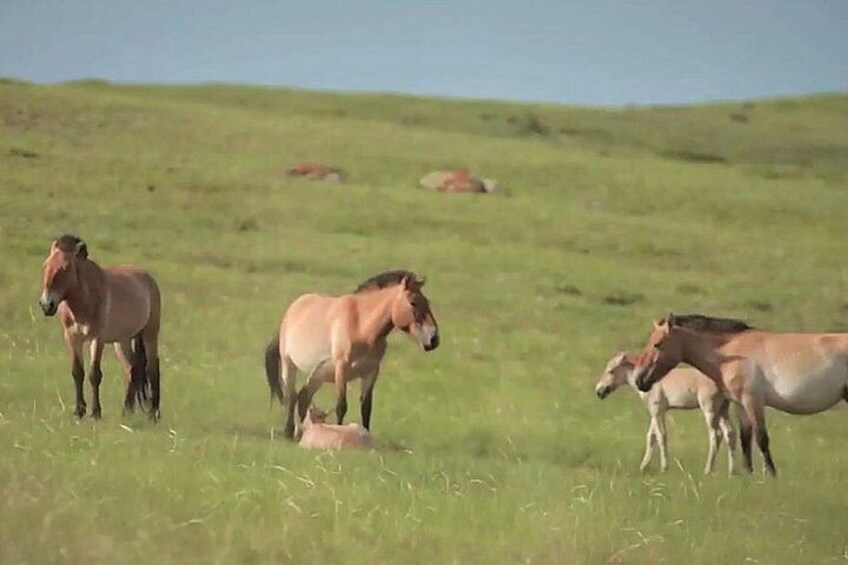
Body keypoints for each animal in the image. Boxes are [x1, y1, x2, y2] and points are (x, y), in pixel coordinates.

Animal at [38, 234, 164, 418]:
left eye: (65, 268)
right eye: (45, 265)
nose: (46, 305)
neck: (84, 300)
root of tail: (148, 278)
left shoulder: (97, 339)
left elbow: (94, 374)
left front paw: (95, 412)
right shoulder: (72, 337)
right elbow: (77, 372)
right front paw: (79, 411)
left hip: (150, 333)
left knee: (152, 368)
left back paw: (153, 413)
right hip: (122, 341)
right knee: (132, 369)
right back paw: (127, 410)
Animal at [264, 270, 440, 438]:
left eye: (428, 302)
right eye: (413, 303)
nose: (434, 339)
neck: (361, 325)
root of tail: (293, 308)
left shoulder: (371, 372)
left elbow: (366, 407)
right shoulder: (342, 368)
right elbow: (341, 406)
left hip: (319, 373)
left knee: (303, 397)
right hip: (289, 364)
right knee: (291, 396)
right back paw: (289, 432)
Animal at [596, 350, 736, 474]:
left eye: (611, 371)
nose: (599, 391)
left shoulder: (657, 410)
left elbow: (661, 436)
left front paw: (664, 468)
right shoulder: (655, 412)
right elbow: (651, 437)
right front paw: (643, 467)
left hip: (710, 409)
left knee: (716, 435)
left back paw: (708, 470)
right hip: (722, 409)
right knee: (729, 433)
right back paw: (732, 471)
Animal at [632, 312, 848, 476]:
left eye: (657, 344)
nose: (639, 380)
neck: (732, 353)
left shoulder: (753, 401)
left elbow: (761, 438)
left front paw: (771, 475)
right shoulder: (741, 405)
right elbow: (745, 439)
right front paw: (748, 474)